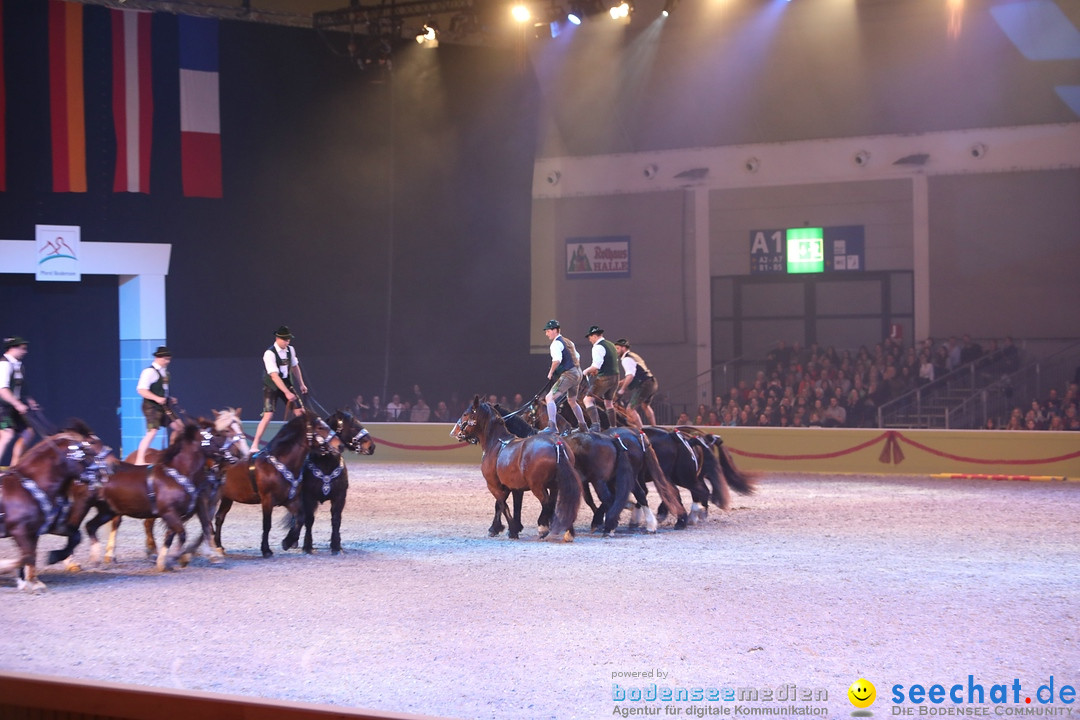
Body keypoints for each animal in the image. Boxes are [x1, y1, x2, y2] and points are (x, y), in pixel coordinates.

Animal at [0, 427, 104, 591]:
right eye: (85, 453)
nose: (102, 475)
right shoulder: (20, 530)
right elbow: (28, 554)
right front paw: (31, 582)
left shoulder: (36, 530)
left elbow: (74, 537)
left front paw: (32, 578)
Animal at [214, 410, 336, 557]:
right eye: (320, 427)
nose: (339, 444)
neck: (278, 465)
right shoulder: (267, 500)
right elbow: (267, 524)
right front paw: (266, 550)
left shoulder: (290, 500)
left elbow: (300, 518)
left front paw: (288, 542)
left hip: (227, 498)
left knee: (219, 517)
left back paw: (219, 545)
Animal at [300, 408, 375, 557]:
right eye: (353, 426)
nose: (371, 446)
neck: (326, 463)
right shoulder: (308, 497)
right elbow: (309, 519)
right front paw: (308, 546)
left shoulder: (340, 497)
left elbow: (336, 519)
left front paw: (336, 546)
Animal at [451, 397, 583, 544]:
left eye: (465, 414)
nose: (454, 432)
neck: (496, 443)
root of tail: (556, 444)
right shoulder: (514, 487)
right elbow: (509, 506)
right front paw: (502, 527)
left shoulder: (494, 485)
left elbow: (503, 505)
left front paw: (511, 529)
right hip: (555, 485)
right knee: (560, 504)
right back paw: (566, 530)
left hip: (538, 486)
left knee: (547, 503)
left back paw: (544, 527)